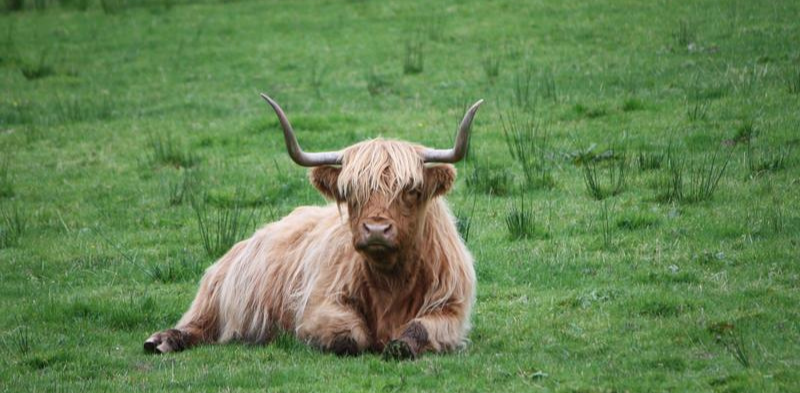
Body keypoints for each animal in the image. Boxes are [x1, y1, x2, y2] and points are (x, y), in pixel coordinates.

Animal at [144, 94, 482, 358]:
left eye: (411, 190)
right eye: (350, 192)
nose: (375, 231)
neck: (390, 280)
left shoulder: (451, 308)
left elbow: (418, 330)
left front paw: (398, 345)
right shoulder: (317, 305)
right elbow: (350, 336)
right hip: (215, 296)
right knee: (196, 323)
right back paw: (162, 340)